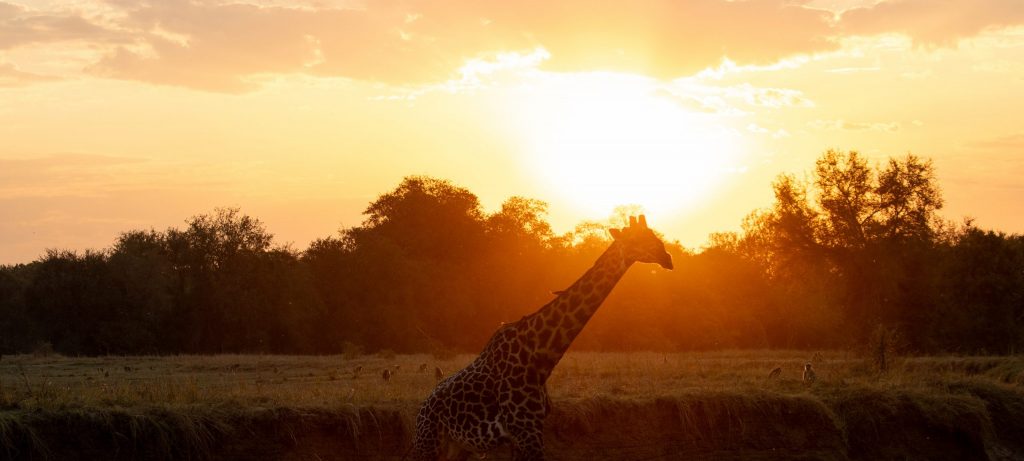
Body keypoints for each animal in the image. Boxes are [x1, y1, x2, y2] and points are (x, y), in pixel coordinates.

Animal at [411, 215, 673, 460]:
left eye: (653, 235)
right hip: (428, 443)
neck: (541, 355)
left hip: (458, 447)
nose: (667, 258)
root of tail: (422, 408)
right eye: (637, 240)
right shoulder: (526, 432)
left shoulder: (527, 433)